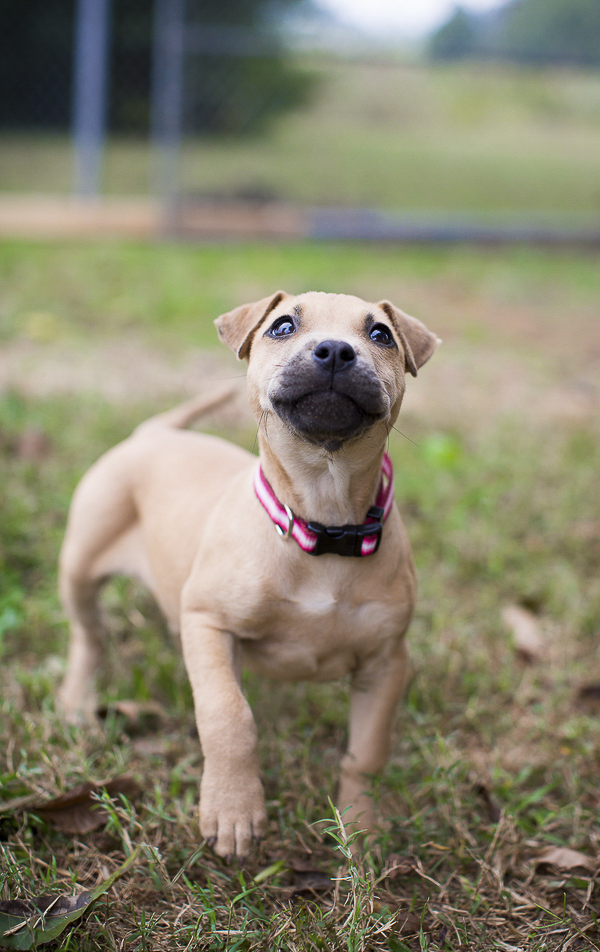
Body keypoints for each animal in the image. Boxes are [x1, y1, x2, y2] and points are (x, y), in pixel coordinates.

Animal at [58, 288, 438, 856]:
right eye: (282, 326)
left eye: (381, 335)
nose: (334, 350)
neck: (322, 521)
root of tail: (154, 433)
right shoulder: (209, 624)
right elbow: (228, 716)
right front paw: (233, 811)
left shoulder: (386, 661)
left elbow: (366, 754)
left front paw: (360, 828)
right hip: (81, 563)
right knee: (90, 635)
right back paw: (76, 704)